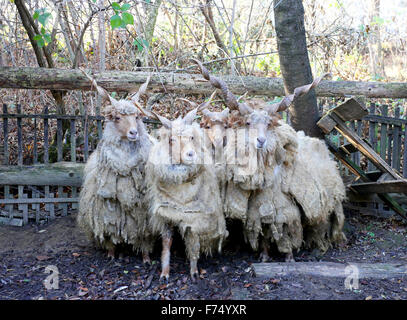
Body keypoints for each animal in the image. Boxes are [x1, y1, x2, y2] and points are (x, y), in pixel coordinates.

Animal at [76, 72, 156, 262]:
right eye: (117, 118)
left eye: (137, 117)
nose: (134, 132)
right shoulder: (106, 214)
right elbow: (110, 235)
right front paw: (111, 254)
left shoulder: (144, 218)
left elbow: (145, 238)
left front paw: (146, 258)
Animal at [146, 107, 230, 280]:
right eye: (171, 139)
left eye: (192, 137)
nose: (191, 154)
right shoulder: (165, 215)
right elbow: (166, 243)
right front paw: (164, 272)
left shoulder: (195, 218)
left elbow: (193, 242)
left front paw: (194, 271)